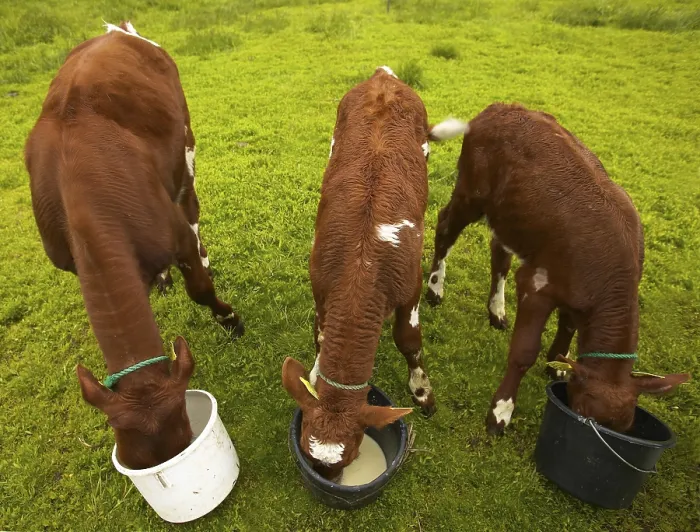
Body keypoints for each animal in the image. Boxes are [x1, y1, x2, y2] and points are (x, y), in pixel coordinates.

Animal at [24, 22, 244, 469]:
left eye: (185, 435)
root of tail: (114, 31)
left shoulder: (174, 233)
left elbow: (200, 287)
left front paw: (229, 319)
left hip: (185, 143)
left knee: (191, 204)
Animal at [282, 66, 469, 479]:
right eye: (308, 451)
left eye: (352, 454)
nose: (329, 481)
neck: (360, 272)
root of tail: (383, 77)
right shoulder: (321, 289)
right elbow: (320, 337)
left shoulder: (410, 288)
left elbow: (409, 341)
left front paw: (422, 391)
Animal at [425, 102, 689, 435]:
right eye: (584, 412)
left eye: (626, 425)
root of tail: (503, 106)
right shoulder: (538, 284)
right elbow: (524, 352)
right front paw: (500, 412)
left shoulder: (574, 291)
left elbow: (568, 325)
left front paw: (557, 364)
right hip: (472, 191)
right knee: (446, 228)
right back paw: (435, 289)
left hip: (511, 219)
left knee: (499, 255)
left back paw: (496, 310)